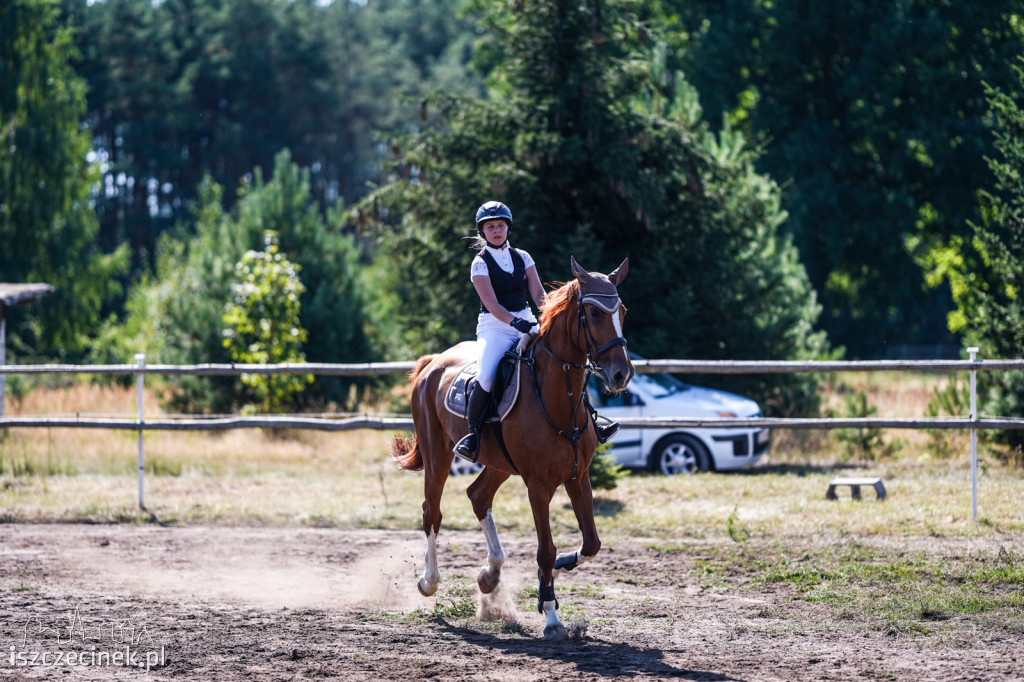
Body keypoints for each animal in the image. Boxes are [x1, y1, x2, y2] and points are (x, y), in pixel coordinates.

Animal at [391, 254, 630, 638]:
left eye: (621, 310)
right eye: (593, 313)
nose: (621, 374)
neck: (558, 397)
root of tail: (433, 362)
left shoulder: (578, 477)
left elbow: (590, 543)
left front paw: (559, 570)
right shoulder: (538, 485)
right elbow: (545, 549)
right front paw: (551, 616)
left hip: (499, 463)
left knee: (478, 496)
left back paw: (490, 575)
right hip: (438, 455)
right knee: (432, 511)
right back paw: (429, 581)